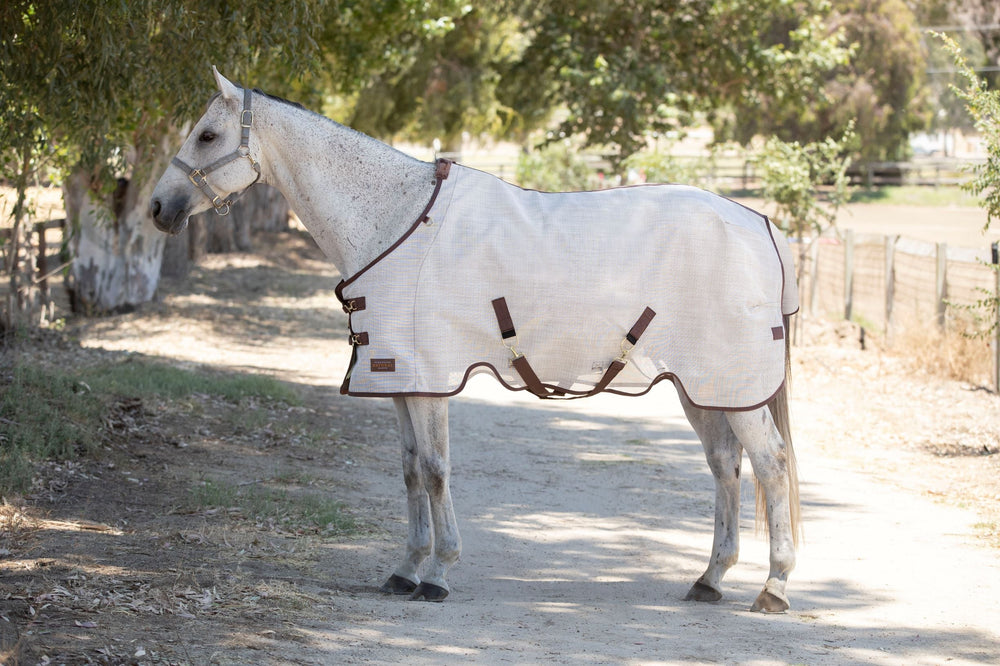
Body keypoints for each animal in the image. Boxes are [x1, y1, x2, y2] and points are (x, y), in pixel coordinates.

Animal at [151, 68, 801, 612]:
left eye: (208, 135)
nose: (158, 207)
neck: (396, 219)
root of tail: (762, 224)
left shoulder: (430, 380)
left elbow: (436, 469)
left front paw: (439, 574)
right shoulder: (399, 379)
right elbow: (410, 469)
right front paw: (406, 569)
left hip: (732, 385)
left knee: (770, 464)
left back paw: (773, 587)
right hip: (705, 388)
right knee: (725, 465)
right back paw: (710, 579)